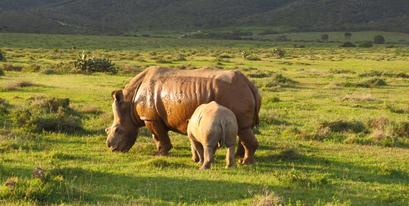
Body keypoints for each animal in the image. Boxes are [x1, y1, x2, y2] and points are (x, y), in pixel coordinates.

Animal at [106, 67, 262, 163]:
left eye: (118, 130)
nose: (112, 148)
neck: (129, 102)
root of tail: (249, 84)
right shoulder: (153, 117)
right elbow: (157, 137)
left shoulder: (151, 118)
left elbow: (158, 136)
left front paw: (160, 154)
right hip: (237, 91)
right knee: (244, 129)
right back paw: (239, 157)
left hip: (233, 92)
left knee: (243, 128)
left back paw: (244, 162)